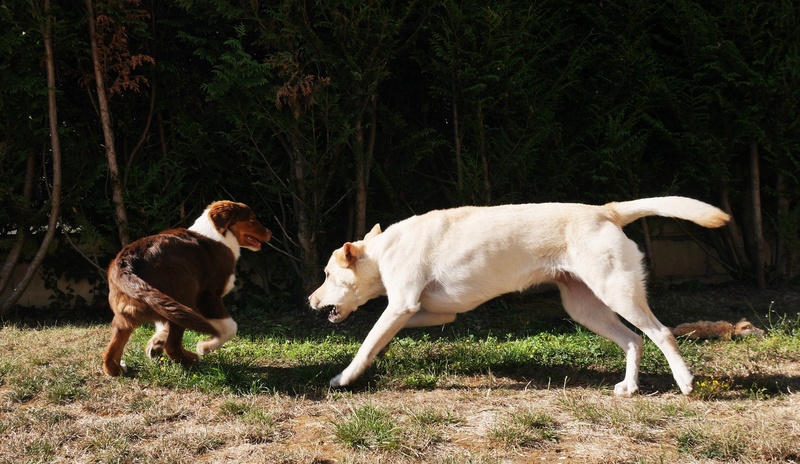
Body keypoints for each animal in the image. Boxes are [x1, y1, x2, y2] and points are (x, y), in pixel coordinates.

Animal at [102, 201, 272, 376]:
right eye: (252, 219)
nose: (270, 233)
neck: (218, 233)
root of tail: (126, 263)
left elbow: (164, 325)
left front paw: (155, 344)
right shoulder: (209, 296)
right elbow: (230, 327)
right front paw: (205, 347)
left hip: (128, 312)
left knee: (110, 350)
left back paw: (116, 369)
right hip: (184, 291)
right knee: (172, 345)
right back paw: (193, 360)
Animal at [308, 196, 732, 396]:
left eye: (327, 274)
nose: (310, 301)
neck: (384, 251)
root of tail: (604, 210)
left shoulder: (402, 306)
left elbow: (366, 342)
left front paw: (344, 377)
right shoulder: (429, 312)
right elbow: (379, 339)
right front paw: (374, 360)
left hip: (618, 295)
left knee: (662, 334)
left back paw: (685, 381)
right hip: (586, 309)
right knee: (634, 341)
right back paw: (629, 388)